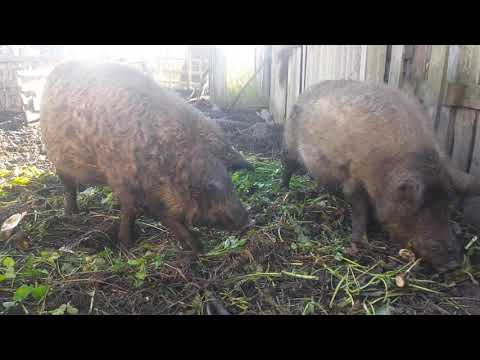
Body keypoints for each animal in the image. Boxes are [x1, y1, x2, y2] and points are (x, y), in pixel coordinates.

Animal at [40, 60, 255, 253]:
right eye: (202, 190)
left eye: (229, 180)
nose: (247, 221)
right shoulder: (122, 178)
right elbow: (137, 211)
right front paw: (126, 246)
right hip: (57, 158)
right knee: (68, 186)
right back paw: (71, 213)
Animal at [282, 79, 480, 270]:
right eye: (416, 208)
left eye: (448, 206)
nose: (453, 264)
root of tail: (305, 92)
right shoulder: (353, 176)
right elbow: (359, 208)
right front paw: (360, 242)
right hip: (290, 144)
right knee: (287, 165)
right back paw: (284, 190)